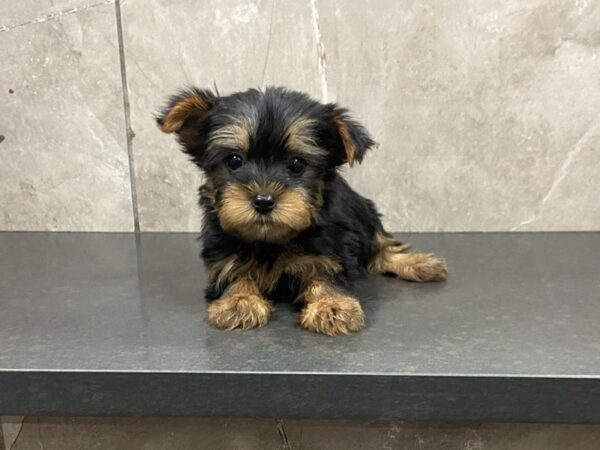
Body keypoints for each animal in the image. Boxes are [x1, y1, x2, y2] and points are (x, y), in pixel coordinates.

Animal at [157, 87, 448, 334]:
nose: (263, 200)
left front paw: (331, 306)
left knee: (380, 245)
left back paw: (420, 263)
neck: (270, 240)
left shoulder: (331, 247)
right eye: (235, 160)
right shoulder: (221, 250)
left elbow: (327, 273)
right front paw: (238, 300)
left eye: (297, 164)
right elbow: (232, 272)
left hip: (363, 212)